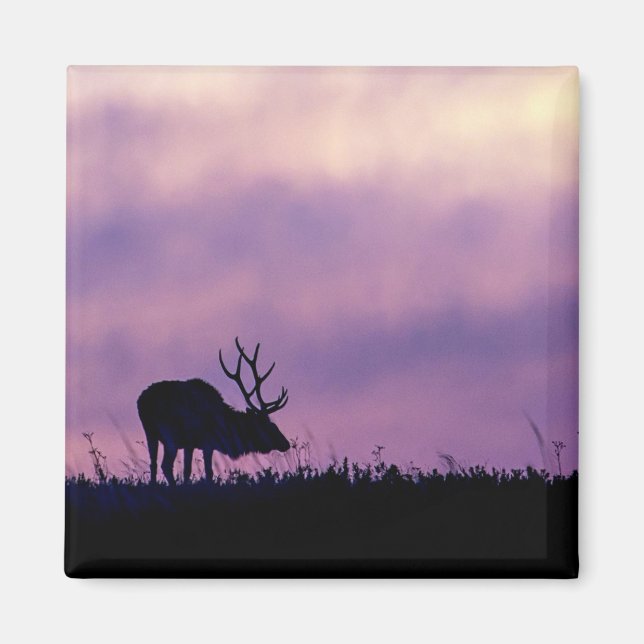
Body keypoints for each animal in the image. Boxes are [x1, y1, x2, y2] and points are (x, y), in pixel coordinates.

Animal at [137, 338, 290, 485]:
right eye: (268, 426)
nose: (286, 444)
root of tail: (141, 402)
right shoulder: (207, 442)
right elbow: (209, 472)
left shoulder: (189, 444)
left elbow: (187, 470)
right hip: (169, 434)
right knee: (166, 465)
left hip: (150, 433)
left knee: (153, 464)